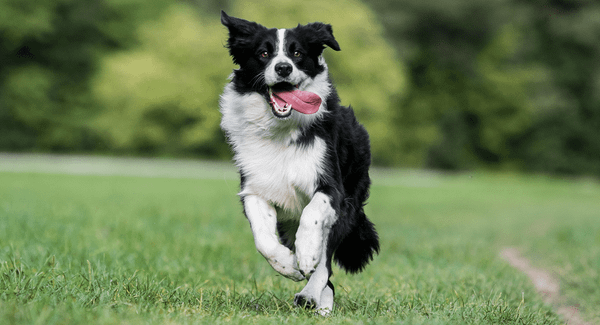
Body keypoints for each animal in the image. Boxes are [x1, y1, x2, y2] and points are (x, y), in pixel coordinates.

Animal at [220, 10, 380, 314]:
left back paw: (312, 295)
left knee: (326, 263)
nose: (283, 68)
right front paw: (288, 265)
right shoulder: (255, 188)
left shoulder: (332, 188)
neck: (281, 131)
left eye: (297, 53)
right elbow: (263, 238)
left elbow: (313, 216)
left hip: (349, 205)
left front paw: (305, 254)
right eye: (263, 53)